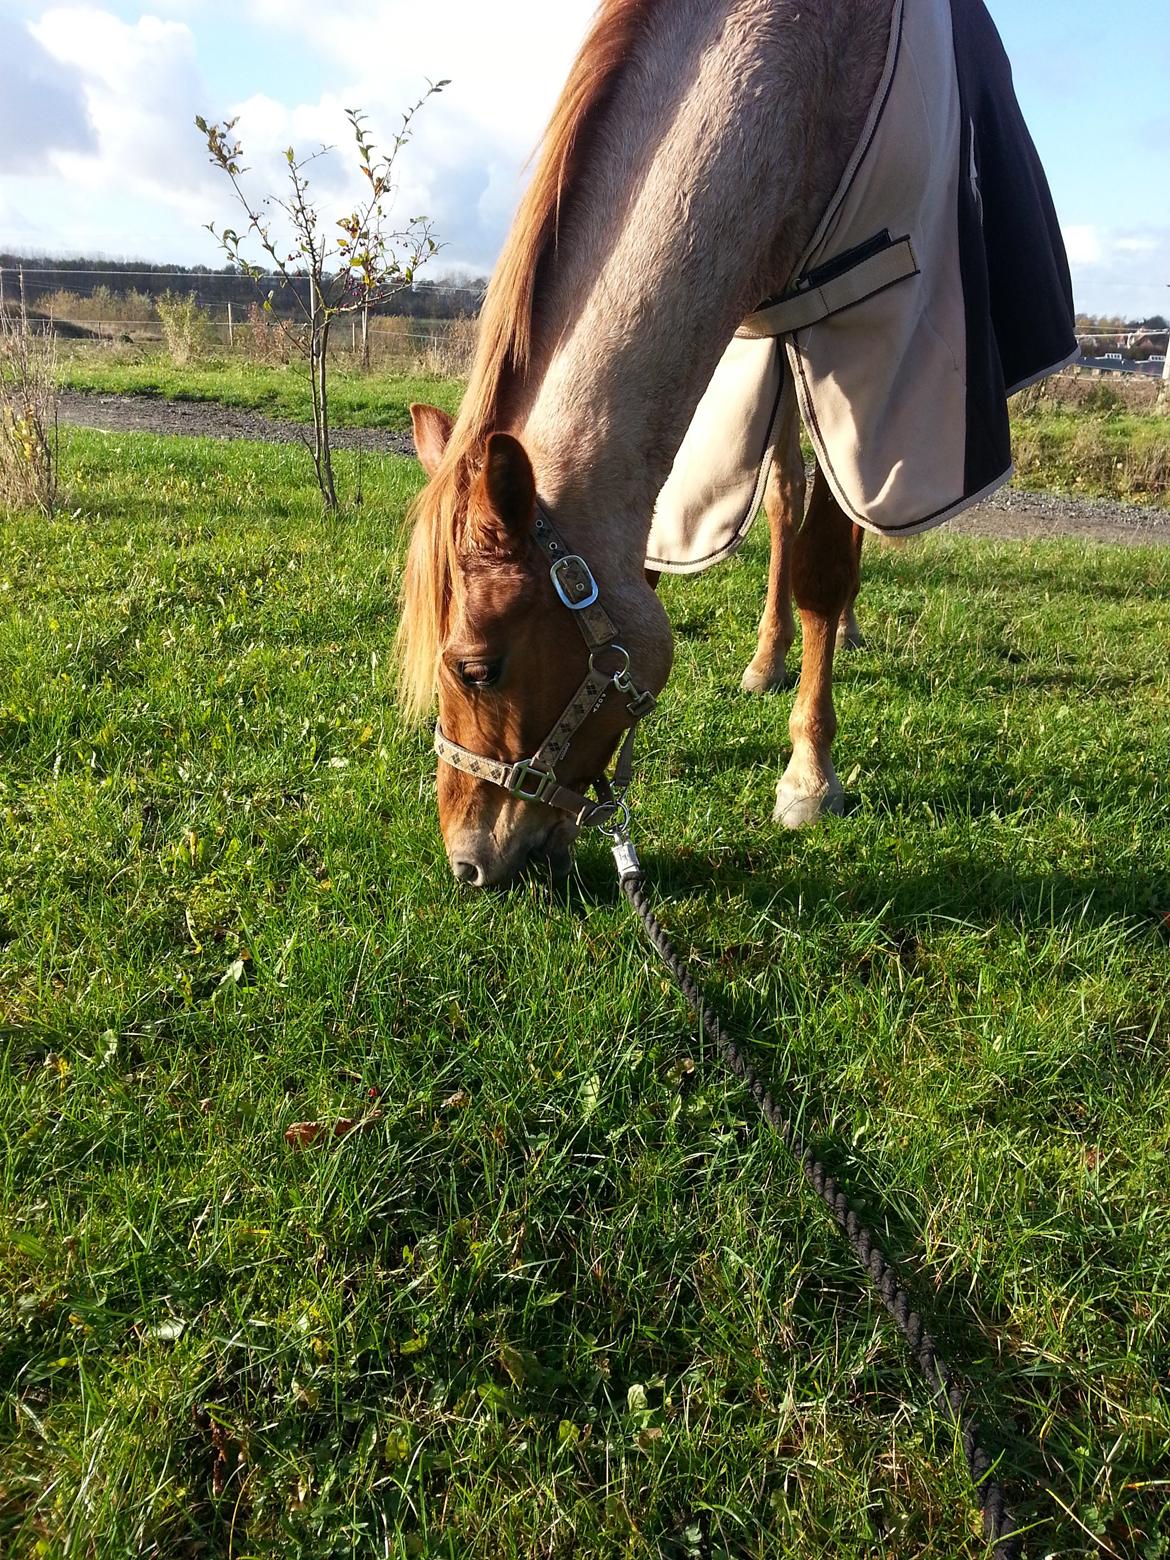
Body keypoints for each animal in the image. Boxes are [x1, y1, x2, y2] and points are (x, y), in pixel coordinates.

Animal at [402, 0, 1079, 886]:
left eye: (477, 669)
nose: (466, 862)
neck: (797, 68)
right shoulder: (740, 357)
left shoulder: (865, 341)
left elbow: (826, 570)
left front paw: (809, 777)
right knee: (786, 497)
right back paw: (767, 656)